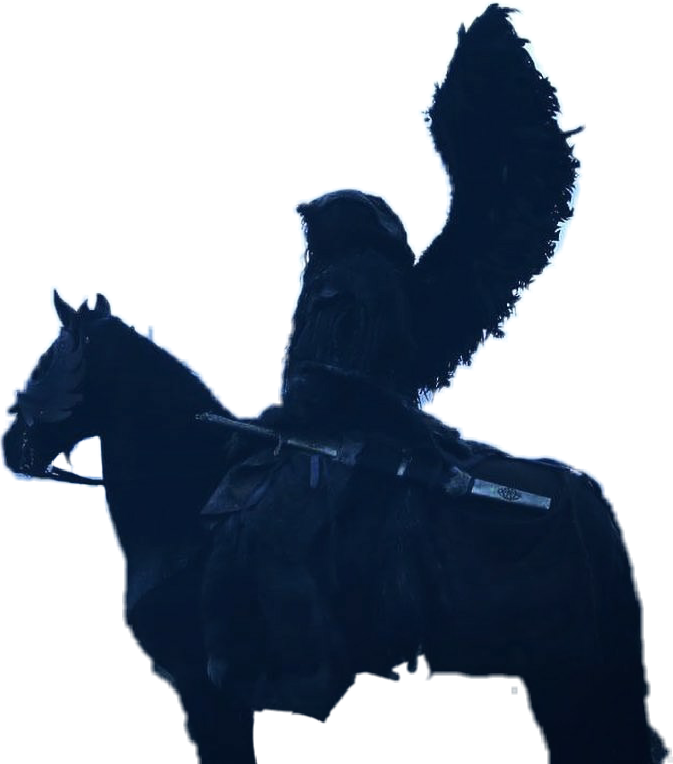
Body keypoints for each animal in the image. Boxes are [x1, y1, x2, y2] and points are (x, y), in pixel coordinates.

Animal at [1, 288, 664, 763]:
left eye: (51, 362)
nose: (12, 444)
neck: (189, 504)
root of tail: (582, 491)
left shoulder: (206, 693)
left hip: (564, 674)